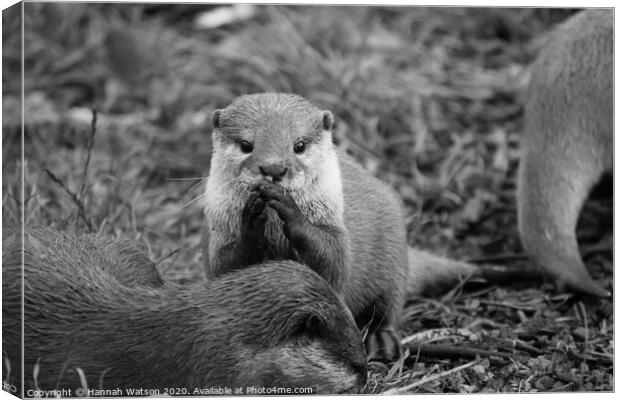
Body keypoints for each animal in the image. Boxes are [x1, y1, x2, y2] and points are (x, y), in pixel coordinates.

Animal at [201, 94, 410, 360]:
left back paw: (381, 339)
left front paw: (290, 209)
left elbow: (333, 266)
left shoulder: (336, 233)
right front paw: (252, 219)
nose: (274, 168)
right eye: (246, 145)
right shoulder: (217, 236)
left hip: (394, 253)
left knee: (390, 302)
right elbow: (224, 267)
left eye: (299, 145)